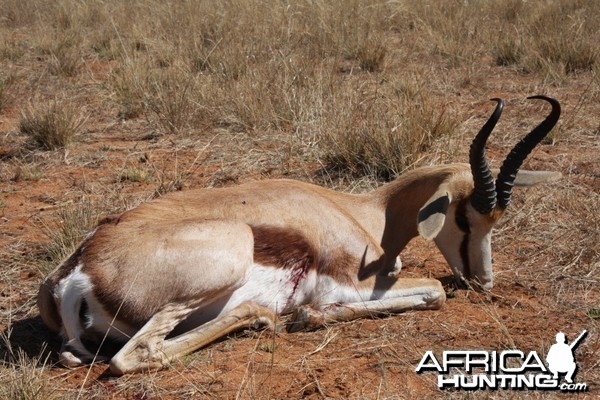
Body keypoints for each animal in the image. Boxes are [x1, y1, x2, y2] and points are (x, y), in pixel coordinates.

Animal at [38, 94, 564, 376]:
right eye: (464, 216)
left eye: (496, 220)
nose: (483, 281)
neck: (360, 211)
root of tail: (78, 273)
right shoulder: (351, 281)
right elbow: (433, 291)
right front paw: (309, 316)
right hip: (225, 259)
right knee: (133, 356)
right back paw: (264, 316)